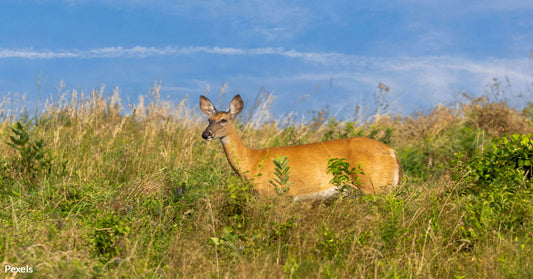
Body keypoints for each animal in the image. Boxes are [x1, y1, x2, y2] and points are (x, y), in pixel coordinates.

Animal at [198, 94, 400, 201]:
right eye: (209, 119)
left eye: (223, 120)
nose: (206, 134)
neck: (252, 161)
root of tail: (392, 152)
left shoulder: (277, 193)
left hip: (376, 185)